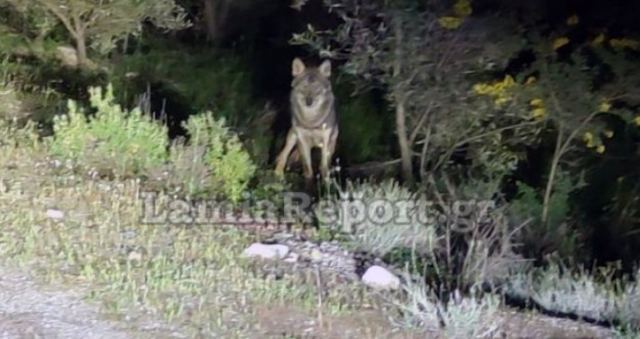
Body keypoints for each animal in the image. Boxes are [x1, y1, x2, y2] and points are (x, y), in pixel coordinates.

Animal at [276, 57, 340, 187]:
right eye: (304, 87)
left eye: (316, 89)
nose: (309, 102)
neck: (311, 120)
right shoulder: (302, 139)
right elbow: (307, 168)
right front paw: (308, 181)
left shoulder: (326, 140)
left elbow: (324, 167)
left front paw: (326, 182)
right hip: (292, 137)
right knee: (283, 155)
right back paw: (278, 173)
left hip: (332, 142)